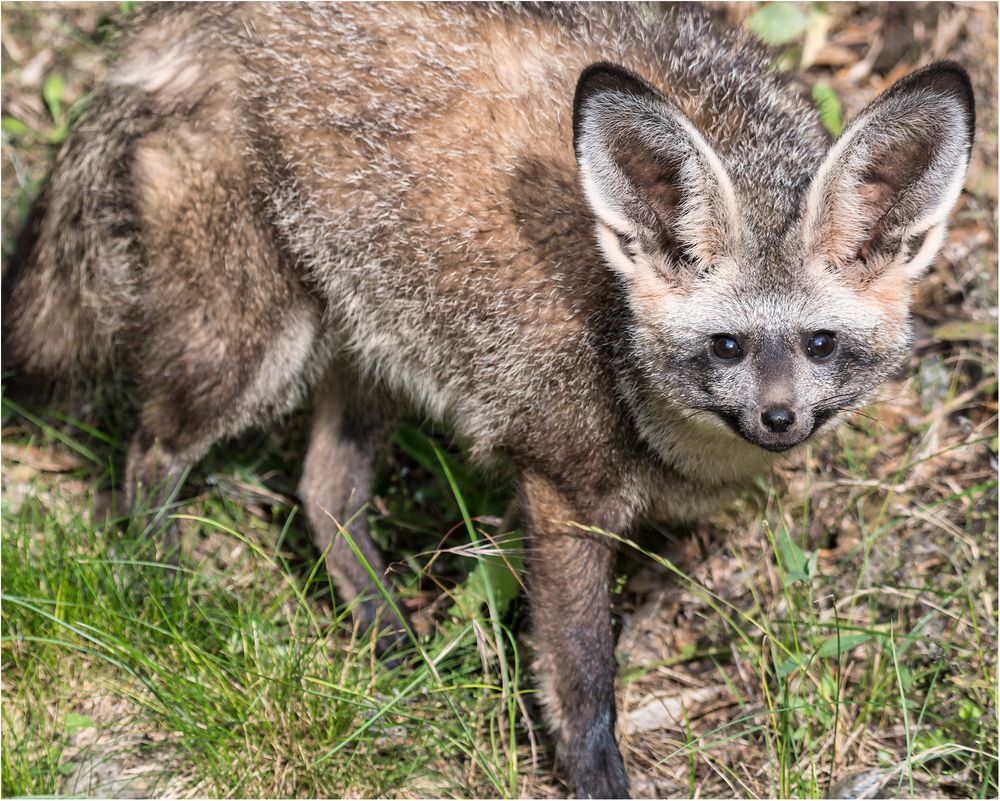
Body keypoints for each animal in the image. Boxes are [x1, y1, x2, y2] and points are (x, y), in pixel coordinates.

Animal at [0, 3, 976, 796]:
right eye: (727, 346)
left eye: (819, 344)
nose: (780, 419)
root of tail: (174, 24)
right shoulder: (564, 489)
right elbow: (582, 678)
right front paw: (596, 778)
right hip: (254, 347)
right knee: (151, 451)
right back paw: (161, 583)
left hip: (376, 342)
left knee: (322, 490)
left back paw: (388, 636)